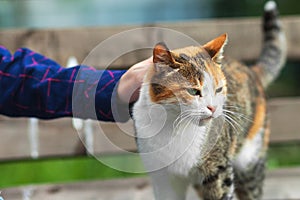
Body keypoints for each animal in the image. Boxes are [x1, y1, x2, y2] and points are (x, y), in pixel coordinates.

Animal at [133, 0, 286, 199]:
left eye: (218, 89)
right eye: (193, 91)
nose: (213, 108)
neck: (174, 128)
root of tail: (250, 70)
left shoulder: (218, 169)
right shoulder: (162, 176)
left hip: (250, 159)